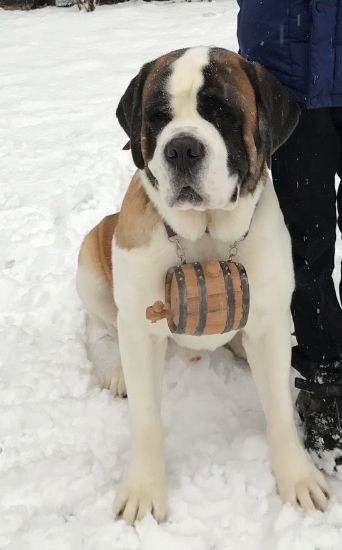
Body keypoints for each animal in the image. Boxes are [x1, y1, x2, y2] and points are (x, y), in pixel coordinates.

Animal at [77, 47, 328, 528]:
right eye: (157, 117)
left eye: (222, 112)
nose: (181, 147)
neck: (205, 234)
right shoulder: (141, 324)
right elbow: (146, 418)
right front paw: (144, 491)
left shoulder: (269, 323)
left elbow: (279, 411)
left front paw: (297, 477)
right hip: (91, 258)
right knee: (99, 329)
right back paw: (114, 368)